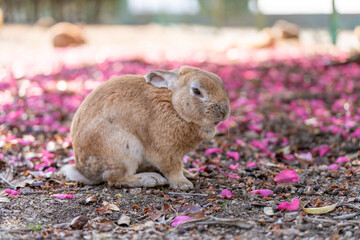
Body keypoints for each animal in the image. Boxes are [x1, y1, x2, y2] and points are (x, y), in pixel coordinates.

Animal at [60, 65, 229, 189]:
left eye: (221, 84)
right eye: (196, 91)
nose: (224, 111)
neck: (174, 106)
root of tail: (83, 171)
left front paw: (188, 175)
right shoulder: (166, 153)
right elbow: (172, 169)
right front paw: (183, 184)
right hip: (123, 149)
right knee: (113, 178)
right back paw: (151, 180)